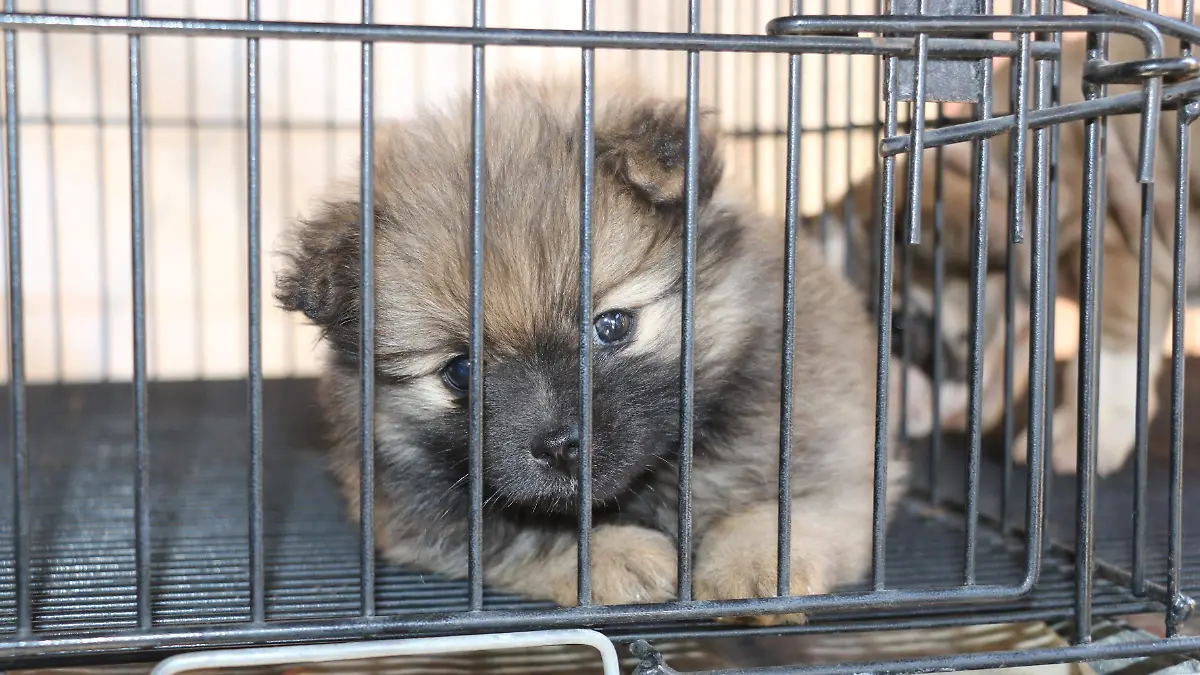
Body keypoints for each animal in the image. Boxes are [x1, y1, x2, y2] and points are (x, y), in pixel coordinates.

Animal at [274, 77, 907, 619]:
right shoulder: (412, 514)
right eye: (461, 371)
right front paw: (618, 555)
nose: (559, 446)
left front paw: (752, 568)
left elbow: (784, 512)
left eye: (613, 326)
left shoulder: (841, 463)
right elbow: (525, 535)